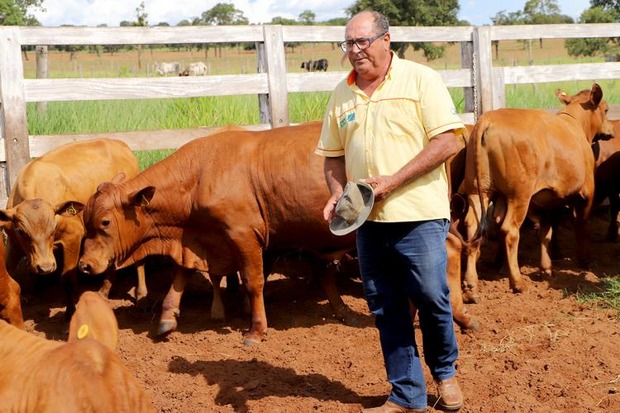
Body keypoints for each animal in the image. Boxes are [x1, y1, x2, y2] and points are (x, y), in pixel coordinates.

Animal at [0, 138, 148, 318]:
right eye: (21, 231)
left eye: (53, 227)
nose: (45, 267)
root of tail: (121, 144)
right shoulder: (13, 243)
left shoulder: (73, 237)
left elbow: (67, 279)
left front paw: (70, 313)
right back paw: (104, 292)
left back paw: (141, 296)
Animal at [76, 122, 480, 344]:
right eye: (86, 222)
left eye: (105, 223)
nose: (84, 266)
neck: (200, 174)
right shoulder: (201, 239)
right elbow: (181, 273)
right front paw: (165, 318)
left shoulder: (244, 236)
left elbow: (253, 283)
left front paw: (255, 330)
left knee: (450, 250)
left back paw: (458, 314)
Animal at [462, 83, 612, 302]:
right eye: (606, 109)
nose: (611, 130)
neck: (574, 125)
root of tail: (487, 120)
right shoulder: (586, 193)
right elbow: (581, 225)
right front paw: (585, 260)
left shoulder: (545, 199)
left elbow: (546, 232)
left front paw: (546, 269)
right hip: (519, 196)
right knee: (510, 231)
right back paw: (517, 283)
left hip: (478, 189)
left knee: (472, 227)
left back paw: (471, 286)